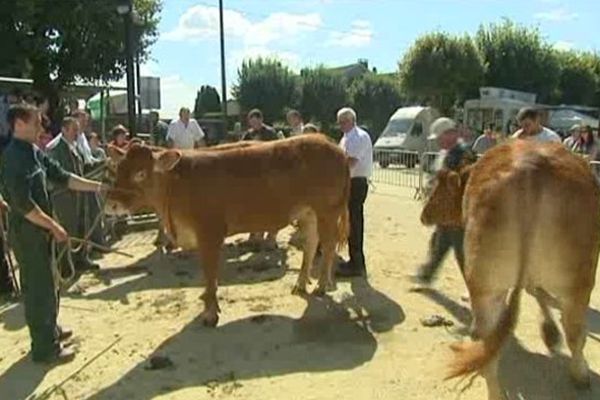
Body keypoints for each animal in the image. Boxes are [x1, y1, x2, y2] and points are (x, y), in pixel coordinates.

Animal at [106, 134, 352, 324]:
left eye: (140, 173)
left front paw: (210, 313)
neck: (176, 184)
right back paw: (301, 283)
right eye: (117, 169)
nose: (111, 203)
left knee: (328, 246)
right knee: (311, 244)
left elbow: (210, 273)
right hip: (308, 213)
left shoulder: (210, 233)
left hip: (327, 211)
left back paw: (321, 285)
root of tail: (331, 144)